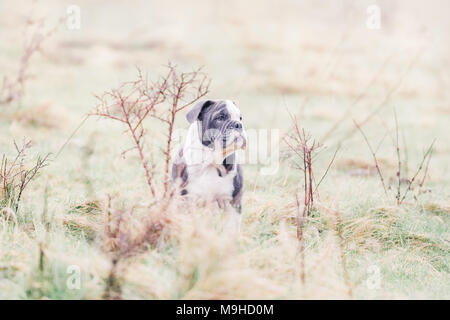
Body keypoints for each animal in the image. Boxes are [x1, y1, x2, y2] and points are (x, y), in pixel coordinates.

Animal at [172, 100, 248, 228]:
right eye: (220, 117)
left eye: (240, 118)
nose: (238, 124)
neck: (211, 162)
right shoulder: (185, 201)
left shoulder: (233, 204)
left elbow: (231, 229)